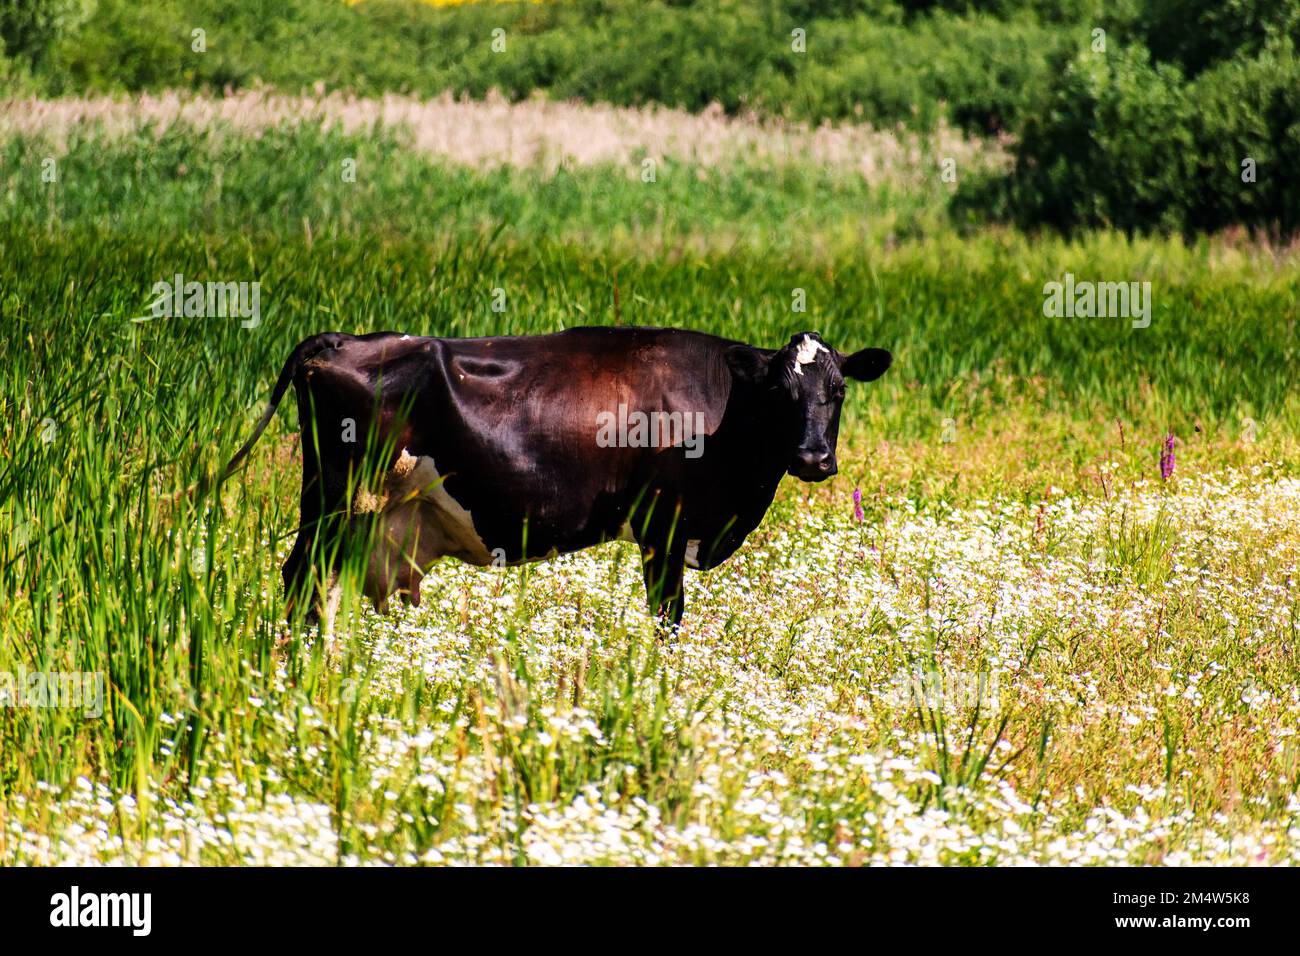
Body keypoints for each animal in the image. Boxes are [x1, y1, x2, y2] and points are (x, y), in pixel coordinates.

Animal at [221, 327, 891, 630]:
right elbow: (667, 618)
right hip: (337, 500)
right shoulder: (663, 527)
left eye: (837, 391)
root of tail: (341, 341)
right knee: (302, 579)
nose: (813, 458)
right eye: (780, 393)